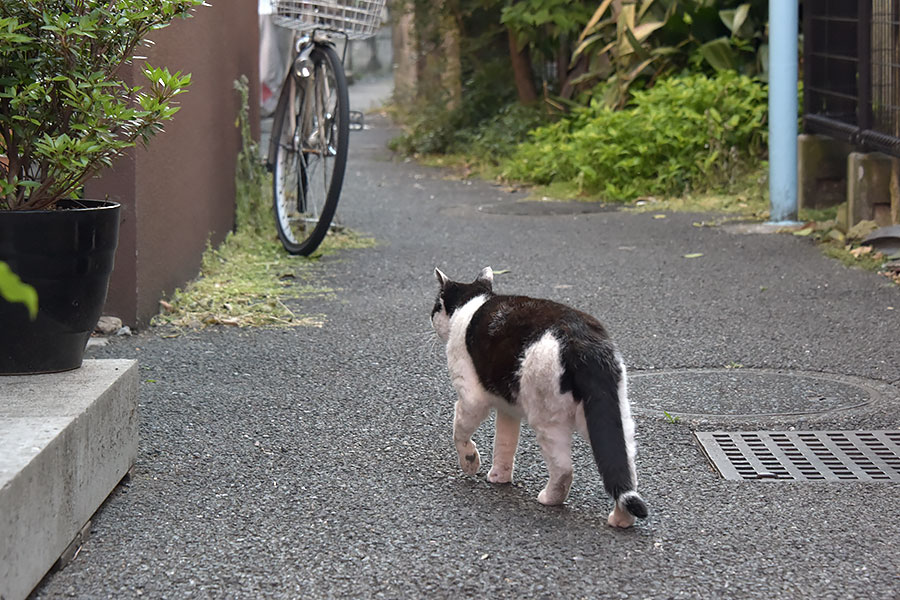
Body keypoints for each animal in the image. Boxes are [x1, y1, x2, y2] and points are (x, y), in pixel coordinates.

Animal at [430, 266, 648, 524]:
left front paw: (470, 462)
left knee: (564, 470)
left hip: (548, 420)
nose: (430, 317)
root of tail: (584, 343)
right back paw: (621, 520)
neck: (473, 302)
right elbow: (504, 443)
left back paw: (549, 498)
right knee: (624, 469)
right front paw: (499, 476)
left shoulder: (471, 397)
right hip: (609, 417)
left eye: (436, 306)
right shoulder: (507, 407)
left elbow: (460, 431)